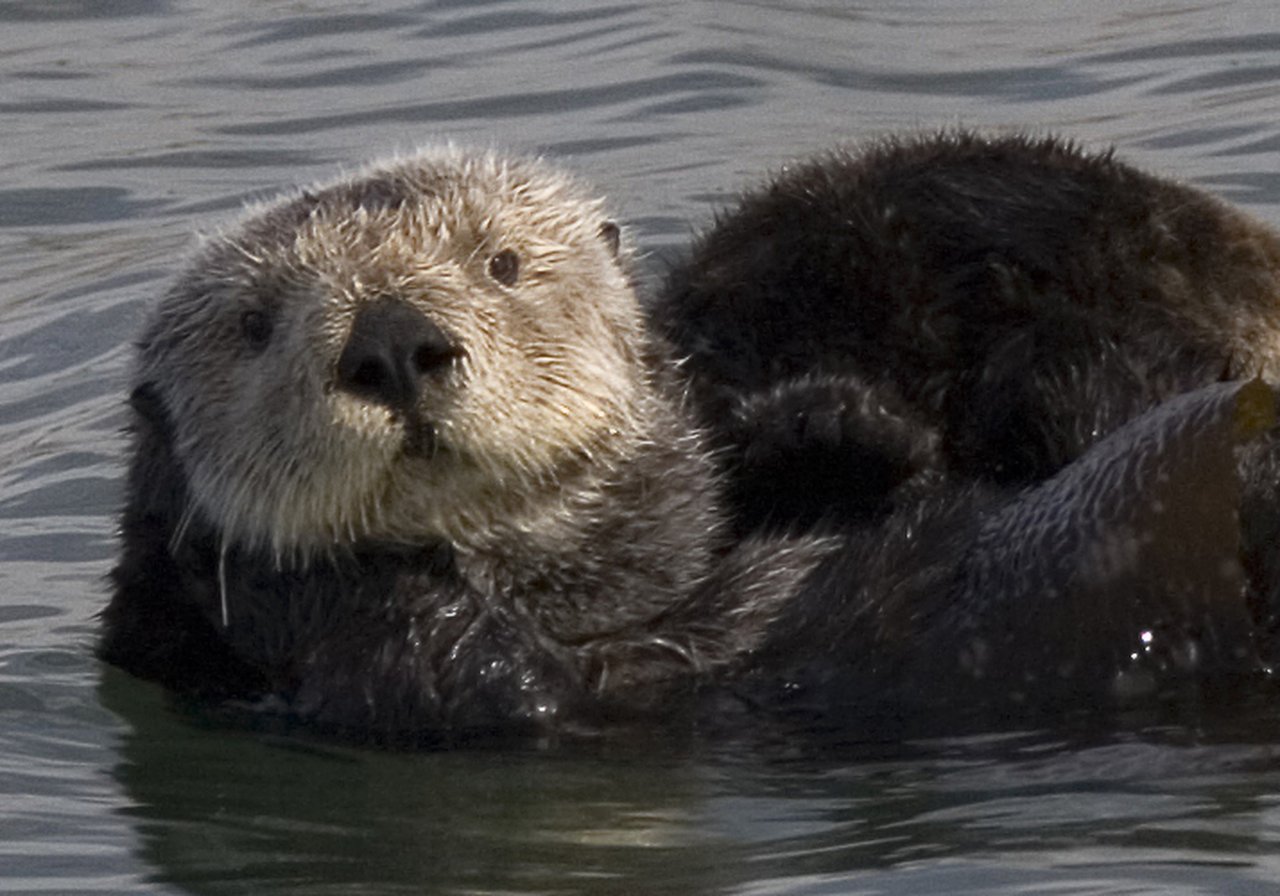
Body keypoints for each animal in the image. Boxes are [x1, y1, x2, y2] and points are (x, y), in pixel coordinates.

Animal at [100, 146, 1278, 744]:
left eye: (502, 264)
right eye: (255, 324)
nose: (391, 341)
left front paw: (837, 423)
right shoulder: (403, 684)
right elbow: (470, 669)